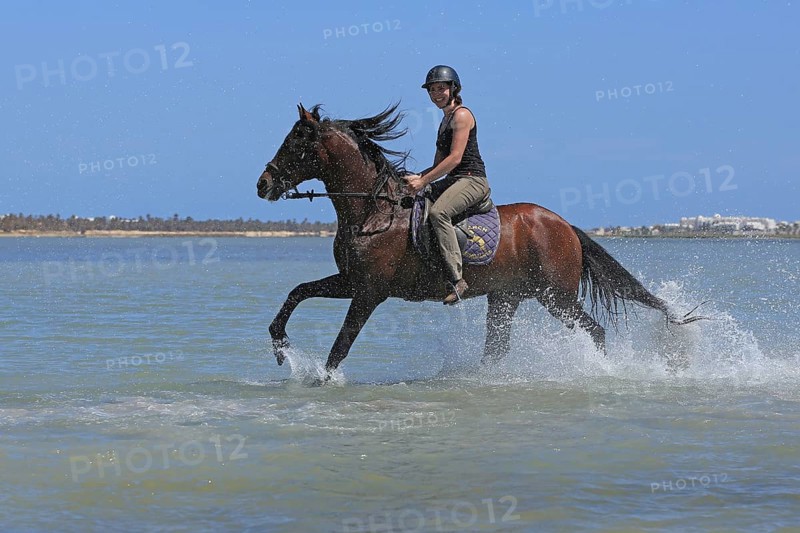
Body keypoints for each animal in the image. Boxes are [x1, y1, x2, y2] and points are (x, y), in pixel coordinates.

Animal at [256, 103, 704, 377]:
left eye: (296, 141)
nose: (263, 184)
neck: (374, 212)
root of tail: (565, 225)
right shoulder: (350, 281)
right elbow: (296, 293)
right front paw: (280, 348)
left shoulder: (369, 291)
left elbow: (341, 345)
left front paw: (322, 381)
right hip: (505, 297)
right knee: (497, 348)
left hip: (556, 297)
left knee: (595, 330)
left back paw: (603, 371)